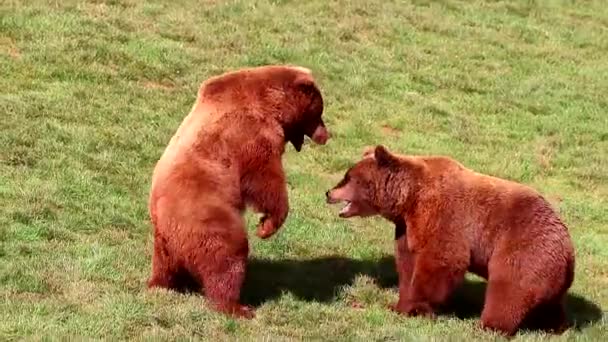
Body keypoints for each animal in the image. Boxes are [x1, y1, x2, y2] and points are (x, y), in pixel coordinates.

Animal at [148, 65, 330, 318]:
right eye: (318, 112)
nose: (325, 135)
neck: (272, 104)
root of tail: (169, 232)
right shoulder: (250, 132)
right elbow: (264, 179)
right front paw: (266, 226)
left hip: (162, 244)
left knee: (164, 267)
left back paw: (160, 284)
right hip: (208, 218)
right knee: (227, 256)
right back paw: (238, 307)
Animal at [326, 146, 572, 336]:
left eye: (348, 177)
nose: (328, 192)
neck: (410, 198)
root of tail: (568, 246)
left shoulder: (443, 216)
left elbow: (440, 261)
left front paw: (416, 308)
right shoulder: (407, 227)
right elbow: (407, 263)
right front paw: (399, 304)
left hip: (523, 248)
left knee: (508, 288)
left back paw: (488, 326)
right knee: (548, 303)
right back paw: (554, 326)